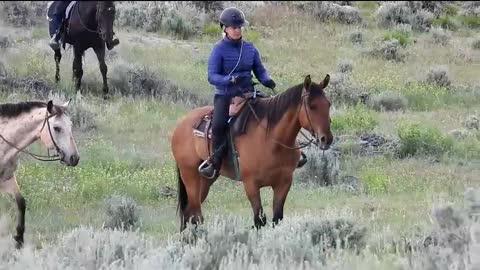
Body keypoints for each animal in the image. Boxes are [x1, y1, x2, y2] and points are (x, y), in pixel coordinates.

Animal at [0, 99, 79, 249]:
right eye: (57, 128)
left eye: (71, 125)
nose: (74, 158)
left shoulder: (7, 179)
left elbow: (21, 202)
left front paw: (19, 240)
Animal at [172, 75, 334, 231]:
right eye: (312, 106)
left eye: (328, 104)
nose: (326, 139)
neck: (271, 140)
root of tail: (180, 123)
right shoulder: (251, 184)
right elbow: (259, 220)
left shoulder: (284, 183)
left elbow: (277, 218)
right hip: (190, 175)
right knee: (195, 215)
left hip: (206, 180)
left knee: (189, 213)